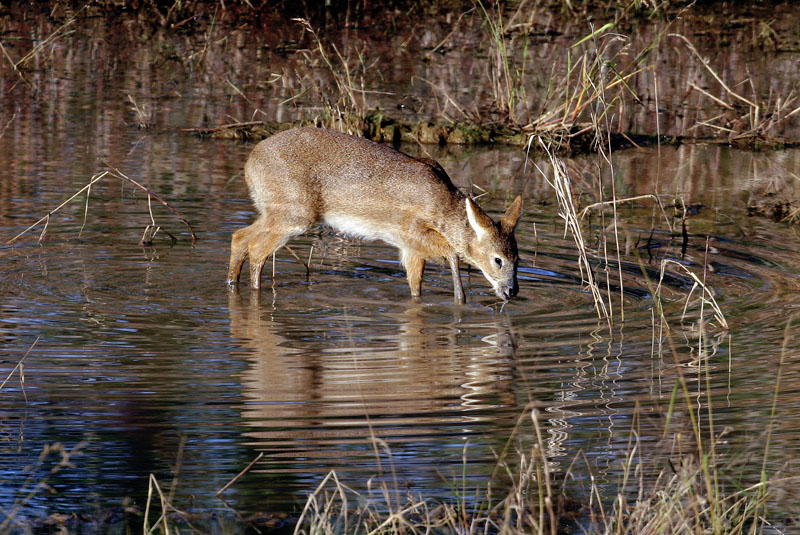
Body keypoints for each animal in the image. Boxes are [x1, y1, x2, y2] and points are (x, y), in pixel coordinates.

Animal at [227, 125, 524, 304]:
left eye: (518, 259)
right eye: (497, 259)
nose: (512, 290)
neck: (440, 204)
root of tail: (250, 163)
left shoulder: (410, 248)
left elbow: (415, 286)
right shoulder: (410, 230)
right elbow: (452, 253)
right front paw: (460, 300)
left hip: (275, 211)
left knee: (239, 237)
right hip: (294, 214)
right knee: (256, 248)